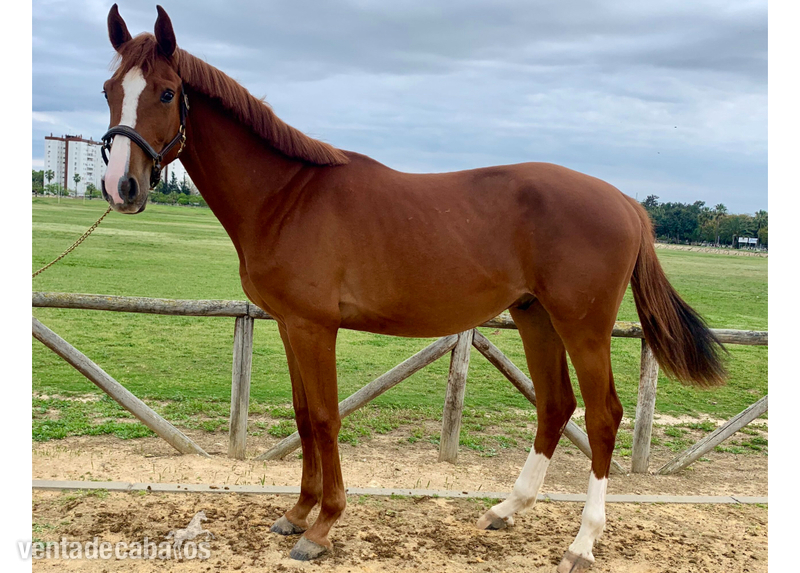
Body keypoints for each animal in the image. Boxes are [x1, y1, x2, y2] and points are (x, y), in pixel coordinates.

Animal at [98, 5, 726, 570]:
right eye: (109, 89)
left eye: (166, 93)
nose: (122, 186)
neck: (287, 197)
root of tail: (627, 203)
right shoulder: (289, 325)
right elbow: (302, 415)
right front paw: (297, 513)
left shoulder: (314, 327)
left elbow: (324, 418)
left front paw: (321, 528)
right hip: (535, 316)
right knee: (555, 405)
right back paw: (507, 510)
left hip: (583, 326)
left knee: (602, 415)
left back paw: (582, 542)